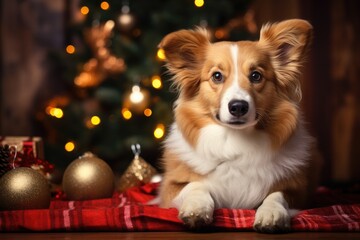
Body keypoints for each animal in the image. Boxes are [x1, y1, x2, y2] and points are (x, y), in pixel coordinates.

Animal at [158, 19, 318, 233]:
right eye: (217, 76)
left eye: (256, 76)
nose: (238, 107)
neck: (235, 140)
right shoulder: (169, 188)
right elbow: (196, 185)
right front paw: (196, 209)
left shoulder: (299, 191)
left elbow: (276, 195)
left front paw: (271, 213)